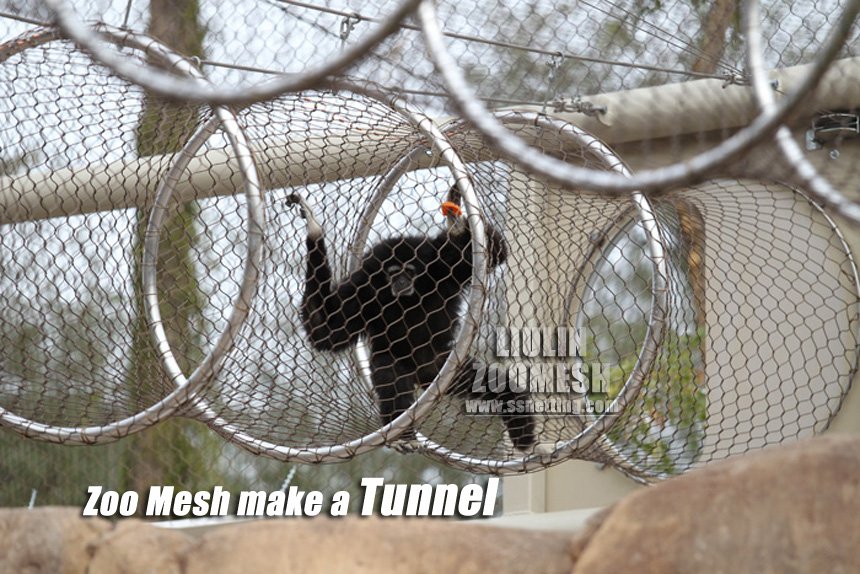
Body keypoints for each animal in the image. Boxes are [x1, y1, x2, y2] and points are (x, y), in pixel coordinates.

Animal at [288, 187, 536, 451]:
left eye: (408, 271)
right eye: (393, 273)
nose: (401, 282)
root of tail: (423, 375)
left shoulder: (442, 267)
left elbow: (495, 251)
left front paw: (456, 225)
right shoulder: (360, 288)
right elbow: (326, 331)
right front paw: (313, 228)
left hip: (446, 366)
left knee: (498, 386)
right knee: (389, 371)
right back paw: (402, 434)